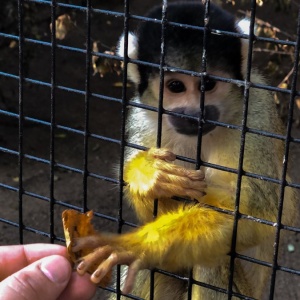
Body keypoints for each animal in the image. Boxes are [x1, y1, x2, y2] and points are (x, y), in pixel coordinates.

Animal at [72, 2, 298, 300]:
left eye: (208, 85)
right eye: (176, 86)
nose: (195, 115)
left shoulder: (255, 114)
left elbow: (260, 214)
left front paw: (144, 244)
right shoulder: (143, 116)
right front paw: (148, 175)